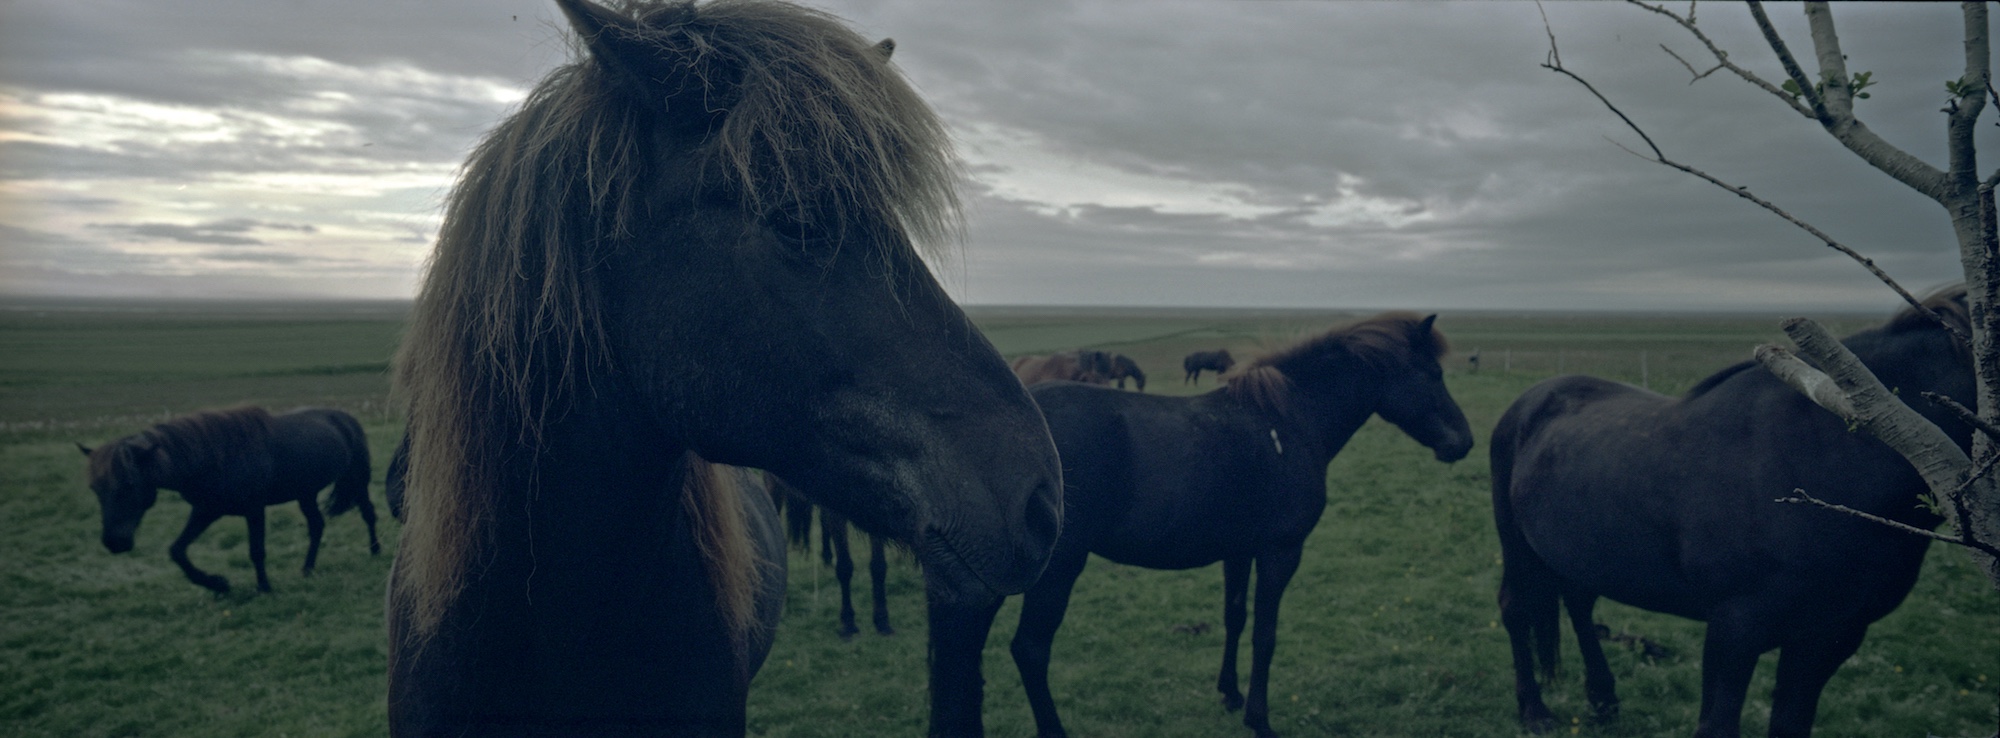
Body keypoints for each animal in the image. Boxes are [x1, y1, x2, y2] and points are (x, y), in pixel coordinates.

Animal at [79, 406, 378, 596]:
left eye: (129, 484)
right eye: (94, 488)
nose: (114, 543)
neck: (211, 456)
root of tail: (344, 418)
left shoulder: (254, 510)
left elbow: (256, 551)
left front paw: (264, 588)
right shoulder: (206, 510)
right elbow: (177, 550)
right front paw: (217, 584)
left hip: (357, 478)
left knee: (368, 513)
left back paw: (375, 551)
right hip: (306, 492)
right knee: (317, 526)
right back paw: (307, 568)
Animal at [928, 312, 1480, 736]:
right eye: (1432, 373)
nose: (1464, 441)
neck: (1285, 423)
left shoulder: (1239, 550)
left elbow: (1235, 618)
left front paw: (1230, 694)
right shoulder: (1281, 552)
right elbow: (1266, 634)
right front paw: (1260, 718)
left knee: (962, 658)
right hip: (1058, 569)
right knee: (1029, 650)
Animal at [1496, 284, 1976, 732]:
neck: (1824, 458)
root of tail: (1530, 400)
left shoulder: (1828, 636)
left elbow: (1790, 723)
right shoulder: (1735, 630)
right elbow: (1718, 724)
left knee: (1578, 602)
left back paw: (1602, 700)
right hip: (1517, 546)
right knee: (1516, 610)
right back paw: (1535, 711)